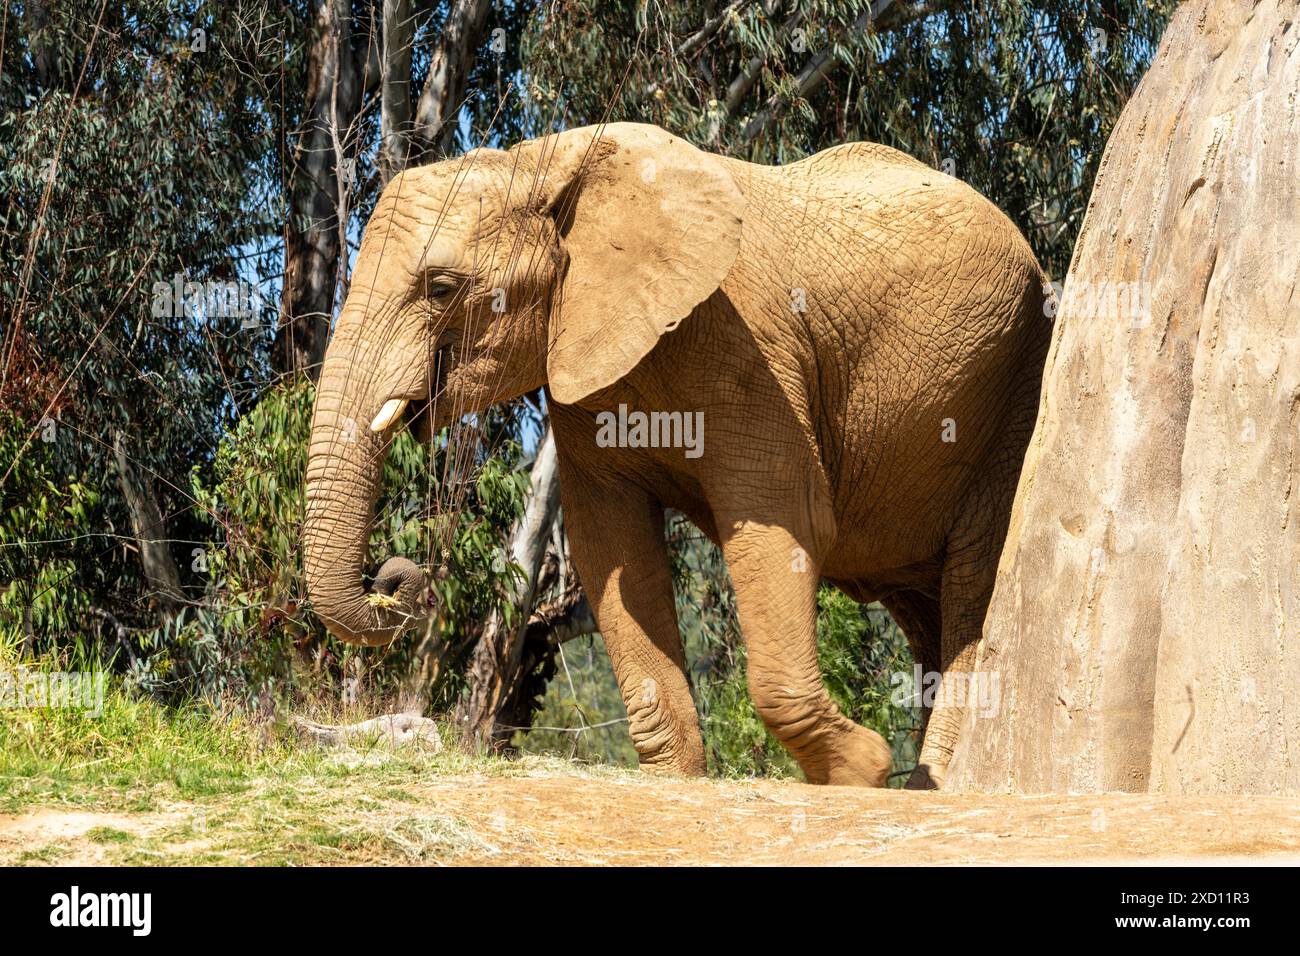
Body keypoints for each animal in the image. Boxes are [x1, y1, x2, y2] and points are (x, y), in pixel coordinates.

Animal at [302, 122, 1051, 788]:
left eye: (440, 288)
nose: (398, 578)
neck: (547, 162)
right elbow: (613, 549)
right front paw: (677, 779)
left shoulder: (751, 351)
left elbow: (783, 524)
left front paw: (858, 773)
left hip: (1015, 387)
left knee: (975, 579)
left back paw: (933, 786)